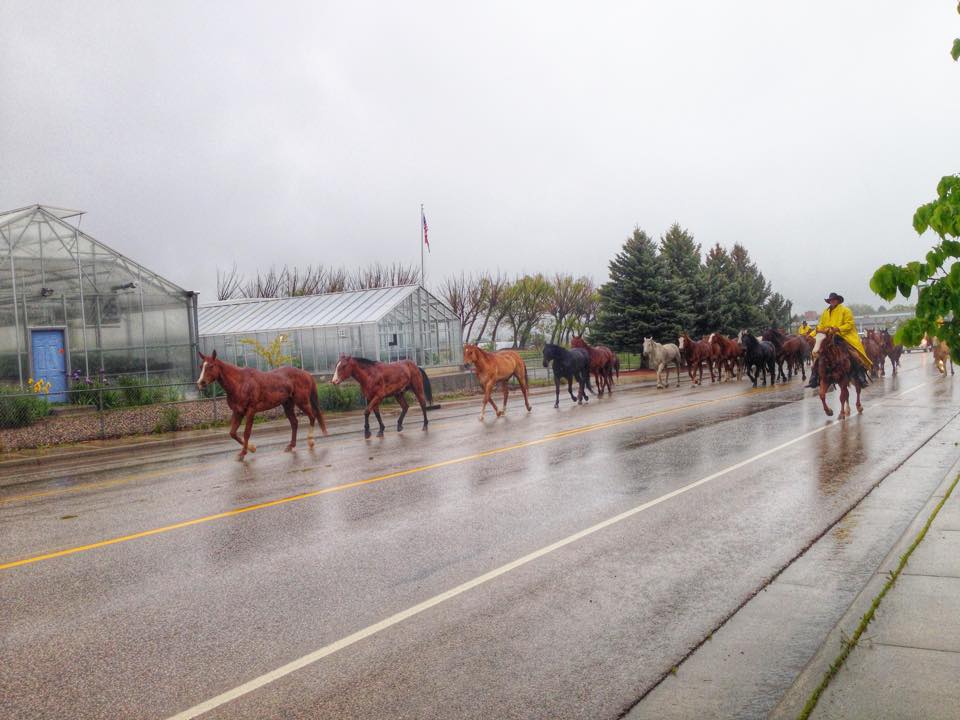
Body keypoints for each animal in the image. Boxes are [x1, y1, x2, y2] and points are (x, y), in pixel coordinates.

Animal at [196, 350, 330, 462]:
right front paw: (251, 448)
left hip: (302, 402)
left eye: (211, 366)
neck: (240, 383)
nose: (200, 383)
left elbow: (246, 432)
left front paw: (244, 453)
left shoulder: (250, 411)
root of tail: (306, 373)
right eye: (201, 366)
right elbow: (232, 433)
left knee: (312, 416)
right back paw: (291, 445)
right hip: (288, 405)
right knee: (294, 423)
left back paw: (310, 441)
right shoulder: (238, 412)